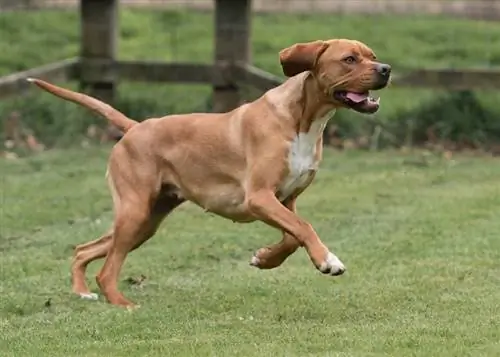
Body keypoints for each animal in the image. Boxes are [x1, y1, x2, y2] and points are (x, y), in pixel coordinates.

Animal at [28, 38, 390, 306]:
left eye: (372, 56)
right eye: (349, 59)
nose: (386, 69)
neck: (302, 120)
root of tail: (134, 127)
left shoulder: (285, 202)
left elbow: (293, 235)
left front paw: (265, 258)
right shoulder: (260, 198)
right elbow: (304, 228)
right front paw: (328, 260)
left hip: (145, 221)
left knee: (84, 250)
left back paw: (82, 292)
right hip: (135, 212)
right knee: (106, 270)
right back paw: (122, 303)